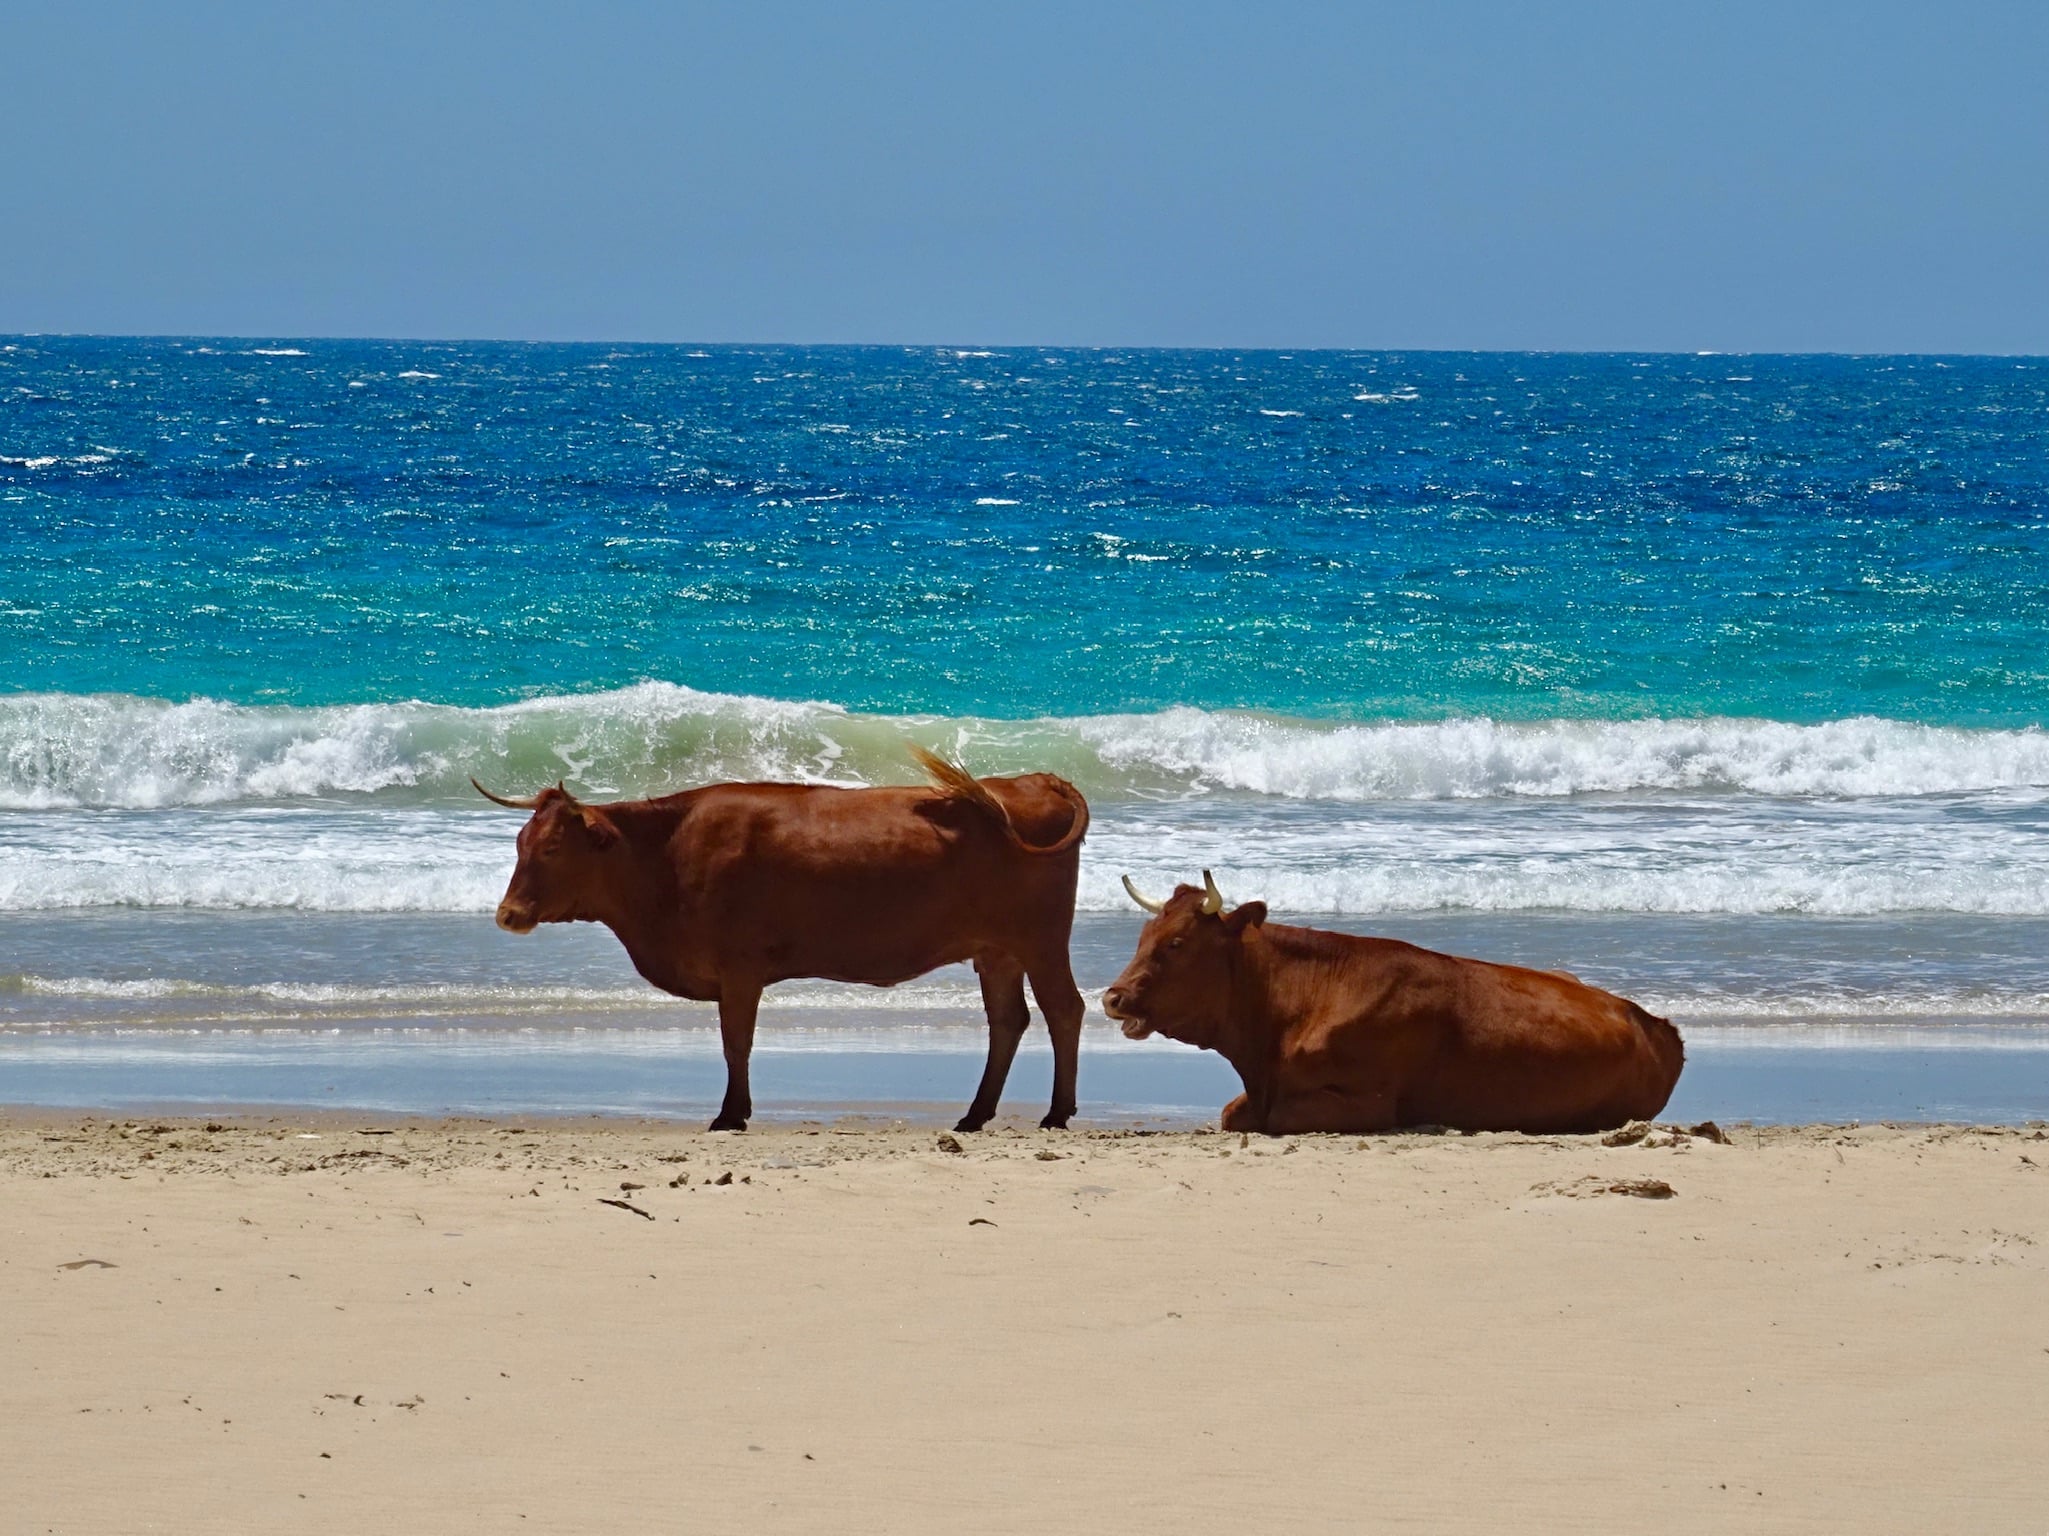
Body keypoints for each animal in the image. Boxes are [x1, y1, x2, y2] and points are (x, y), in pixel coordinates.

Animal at [474, 747, 1089, 1133]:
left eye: (553, 848)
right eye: (519, 842)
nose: (507, 914)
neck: (666, 855)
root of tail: (1036, 780)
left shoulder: (739, 969)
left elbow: (735, 1044)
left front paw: (731, 1114)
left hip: (1040, 940)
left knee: (1064, 1009)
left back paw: (1057, 1112)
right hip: (997, 951)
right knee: (1008, 1021)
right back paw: (975, 1114)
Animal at [1101, 871, 1683, 1135]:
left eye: (1177, 943)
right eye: (1144, 935)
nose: (1113, 996)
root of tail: (1652, 1021)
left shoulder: (1369, 1101)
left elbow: (1275, 1116)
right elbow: (1233, 1112)